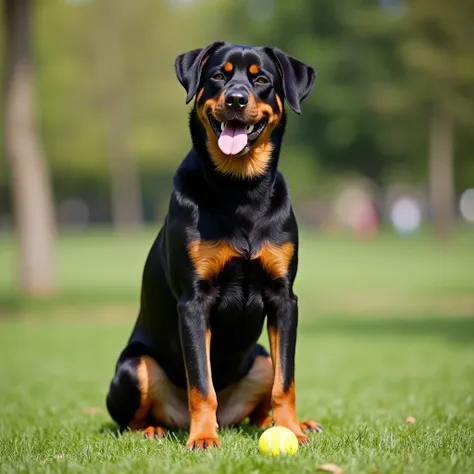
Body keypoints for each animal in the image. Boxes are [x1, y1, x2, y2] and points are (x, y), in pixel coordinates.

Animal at [106, 39, 322, 448]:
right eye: (219, 76)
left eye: (261, 80)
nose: (236, 99)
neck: (240, 189)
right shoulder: (194, 300)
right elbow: (201, 383)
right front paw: (204, 437)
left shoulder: (284, 297)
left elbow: (286, 382)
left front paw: (291, 429)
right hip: (133, 366)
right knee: (131, 420)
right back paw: (156, 429)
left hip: (260, 358)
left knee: (261, 402)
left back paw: (288, 423)